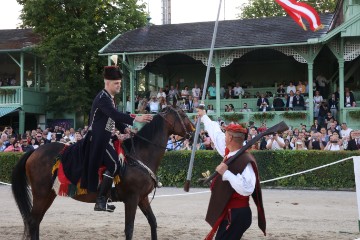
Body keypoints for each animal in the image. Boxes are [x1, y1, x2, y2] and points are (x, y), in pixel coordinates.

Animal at [11, 106, 194, 240]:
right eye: (183, 115)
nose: (193, 133)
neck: (138, 155)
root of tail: (34, 151)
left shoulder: (142, 198)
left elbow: (153, 222)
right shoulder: (132, 199)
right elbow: (129, 229)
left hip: (49, 194)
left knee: (36, 222)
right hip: (41, 194)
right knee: (33, 221)